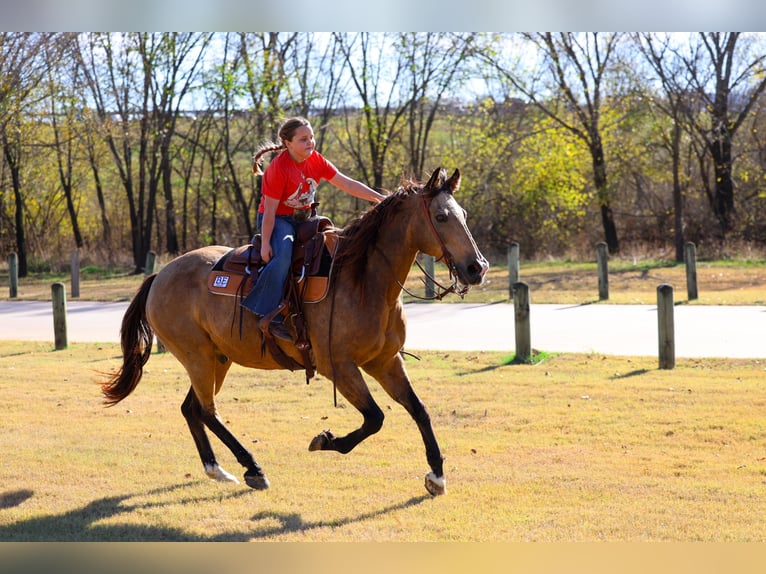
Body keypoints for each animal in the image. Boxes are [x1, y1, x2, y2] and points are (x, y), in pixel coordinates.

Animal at [102, 167, 489, 496]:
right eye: (440, 217)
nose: (477, 267)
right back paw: (253, 468)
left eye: (464, 214)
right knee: (207, 411)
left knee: (192, 409)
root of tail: (159, 276)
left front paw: (436, 475)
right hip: (197, 357)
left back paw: (218, 469)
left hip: (217, 358)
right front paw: (326, 440)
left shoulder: (385, 361)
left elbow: (419, 409)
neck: (363, 280)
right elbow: (375, 418)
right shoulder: (339, 367)